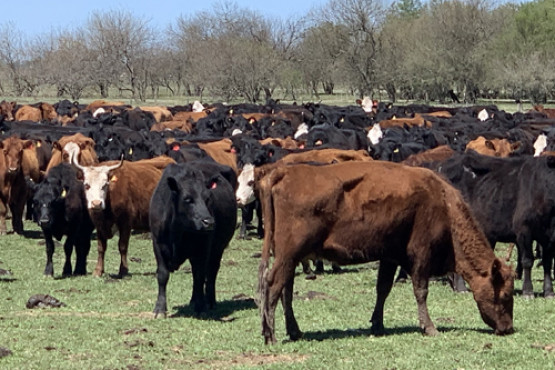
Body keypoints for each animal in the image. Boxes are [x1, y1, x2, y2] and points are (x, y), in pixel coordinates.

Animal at [151, 160, 238, 316]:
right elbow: (162, 274)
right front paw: (160, 308)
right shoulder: (158, 244)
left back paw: (209, 301)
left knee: (211, 272)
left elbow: (199, 276)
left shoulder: (203, 247)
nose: (209, 222)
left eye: (208, 198)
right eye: (187, 199)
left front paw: (200, 306)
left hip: (218, 248)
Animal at [254, 162, 516, 344]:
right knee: (273, 284)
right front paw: (430, 328)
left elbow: (383, 289)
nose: (507, 328)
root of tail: (285, 172)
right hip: (288, 256)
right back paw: (271, 335)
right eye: (504, 295)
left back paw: (293, 331)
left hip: (290, 258)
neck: (443, 203)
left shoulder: (390, 256)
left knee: (285, 290)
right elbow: (421, 291)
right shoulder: (420, 254)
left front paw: (377, 325)